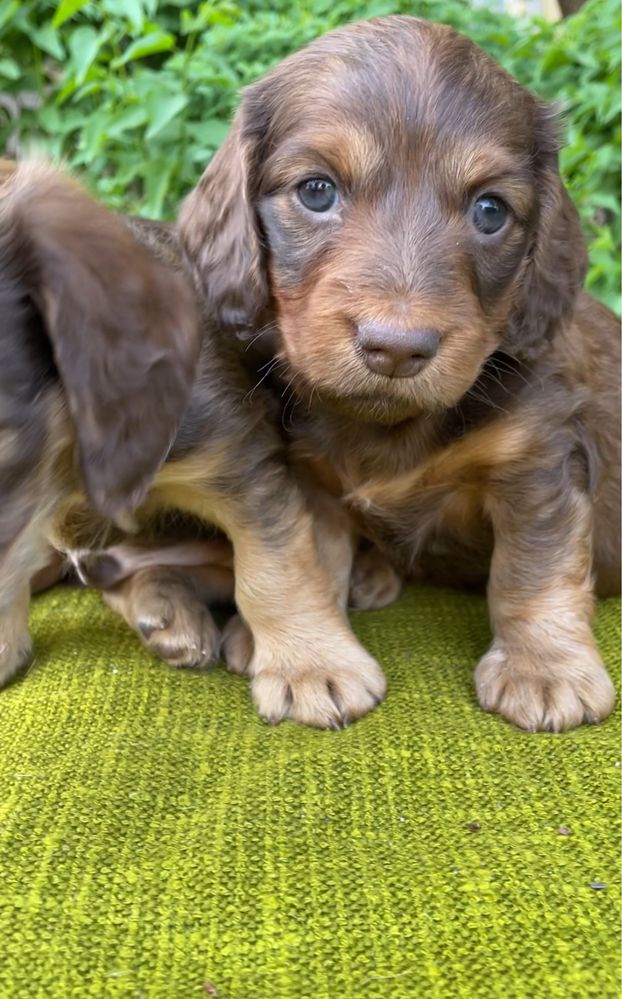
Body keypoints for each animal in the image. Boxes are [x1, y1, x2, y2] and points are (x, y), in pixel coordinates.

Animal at [107, 11, 620, 732]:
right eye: (317, 191)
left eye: (491, 210)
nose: (396, 347)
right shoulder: (311, 481)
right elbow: (304, 560)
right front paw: (306, 655)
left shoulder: (540, 461)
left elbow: (533, 569)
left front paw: (544, 668)